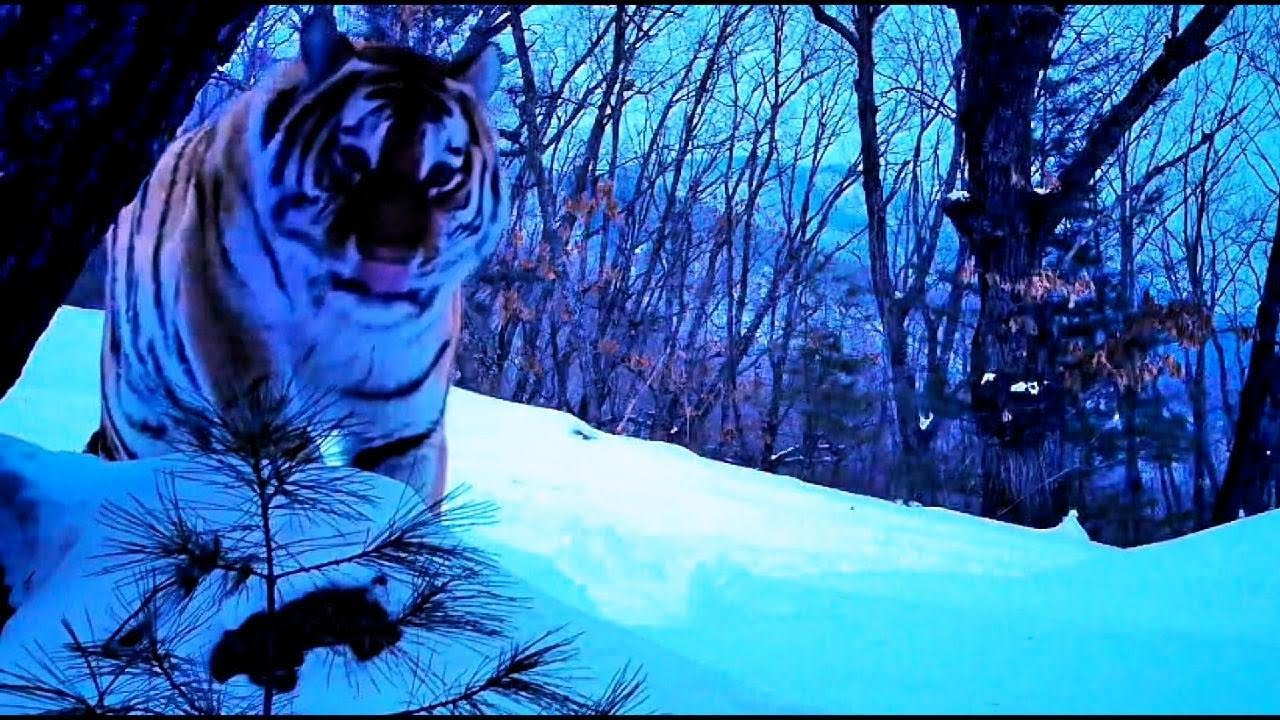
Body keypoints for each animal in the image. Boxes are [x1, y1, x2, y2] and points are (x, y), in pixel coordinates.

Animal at [85, 12, 507, 506]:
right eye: (352, 159)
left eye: (441, 176)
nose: (389, 259)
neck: (344, 320)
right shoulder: (238, 346)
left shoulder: (404, 428)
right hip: (136, 418)